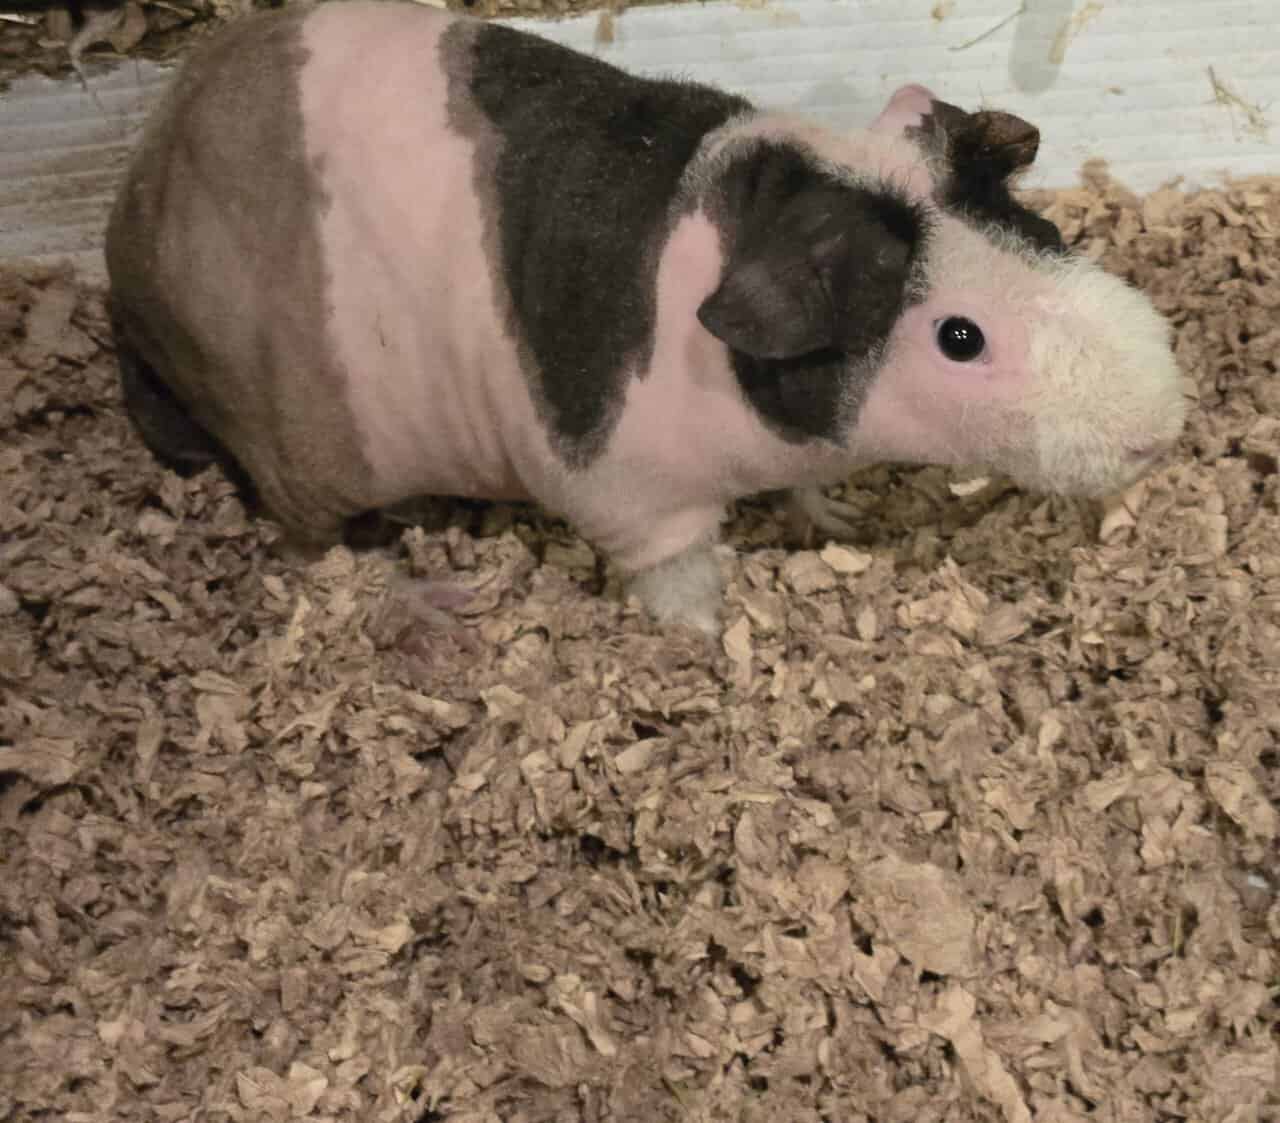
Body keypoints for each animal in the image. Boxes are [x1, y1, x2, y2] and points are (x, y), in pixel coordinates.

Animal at [105, 1, 1185, 635]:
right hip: (309, 470)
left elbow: (806, 494)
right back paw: (429, 600)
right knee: (316, 547)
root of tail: (132, 235)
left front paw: (837, 517)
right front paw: (712, 635)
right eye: (959, 337)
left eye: (1036, 225)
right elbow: (681, 576)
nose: (1160, 426)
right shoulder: (630, 504)